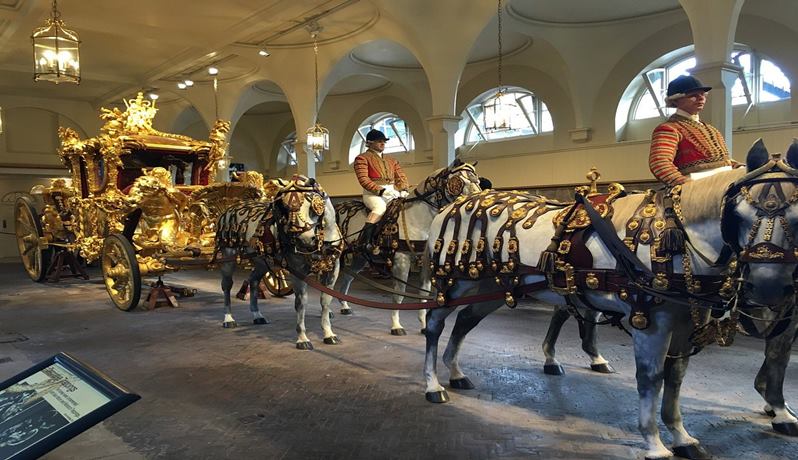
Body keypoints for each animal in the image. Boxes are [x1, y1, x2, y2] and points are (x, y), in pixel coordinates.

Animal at [214, 175, 343, 350]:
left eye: (311, 205)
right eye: (284, 208)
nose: (304, 240)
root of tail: (229, 209)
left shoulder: (332, 269)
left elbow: (326, 301)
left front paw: (329, 333)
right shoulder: (297, 270)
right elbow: (301, 303)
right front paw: (302, 338)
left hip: (261, 261)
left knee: (254, 281)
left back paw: (257, 315)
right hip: (229, 254)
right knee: (227, 285)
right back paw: (228, 318)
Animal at [334, 159, 482, 335]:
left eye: (478, 180)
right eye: (458, 181)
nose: (477, 199)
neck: (418, 218)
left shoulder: (425, 262)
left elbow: (423, 294)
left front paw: (424, 325)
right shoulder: (402, 259)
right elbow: (399, 293)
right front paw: (396, 326)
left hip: (359, 258)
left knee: (347, 278)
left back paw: (344, 306)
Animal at [421, 141, 798, 459]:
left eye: (796, 217)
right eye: (740, 215)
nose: (768, 289)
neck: (676, 235)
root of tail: (452, 206)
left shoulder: (687, 321)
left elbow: (676, 378)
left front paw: (681, 437)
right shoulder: (652, 324)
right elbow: (651, 379)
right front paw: (654, 443)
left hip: (492, 289)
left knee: (466, 321)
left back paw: (455, 372)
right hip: (452, 283)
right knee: (435, 326)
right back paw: (433, 384)